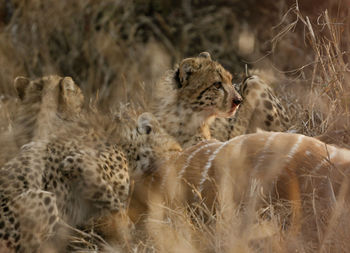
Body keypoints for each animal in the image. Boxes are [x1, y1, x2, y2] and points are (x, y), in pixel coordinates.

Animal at [0, 75, 180, 251]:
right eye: (174, 148)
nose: (181, 153)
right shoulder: (78, 164)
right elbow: (114, 202)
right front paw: (127, 228)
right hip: (43, 198)